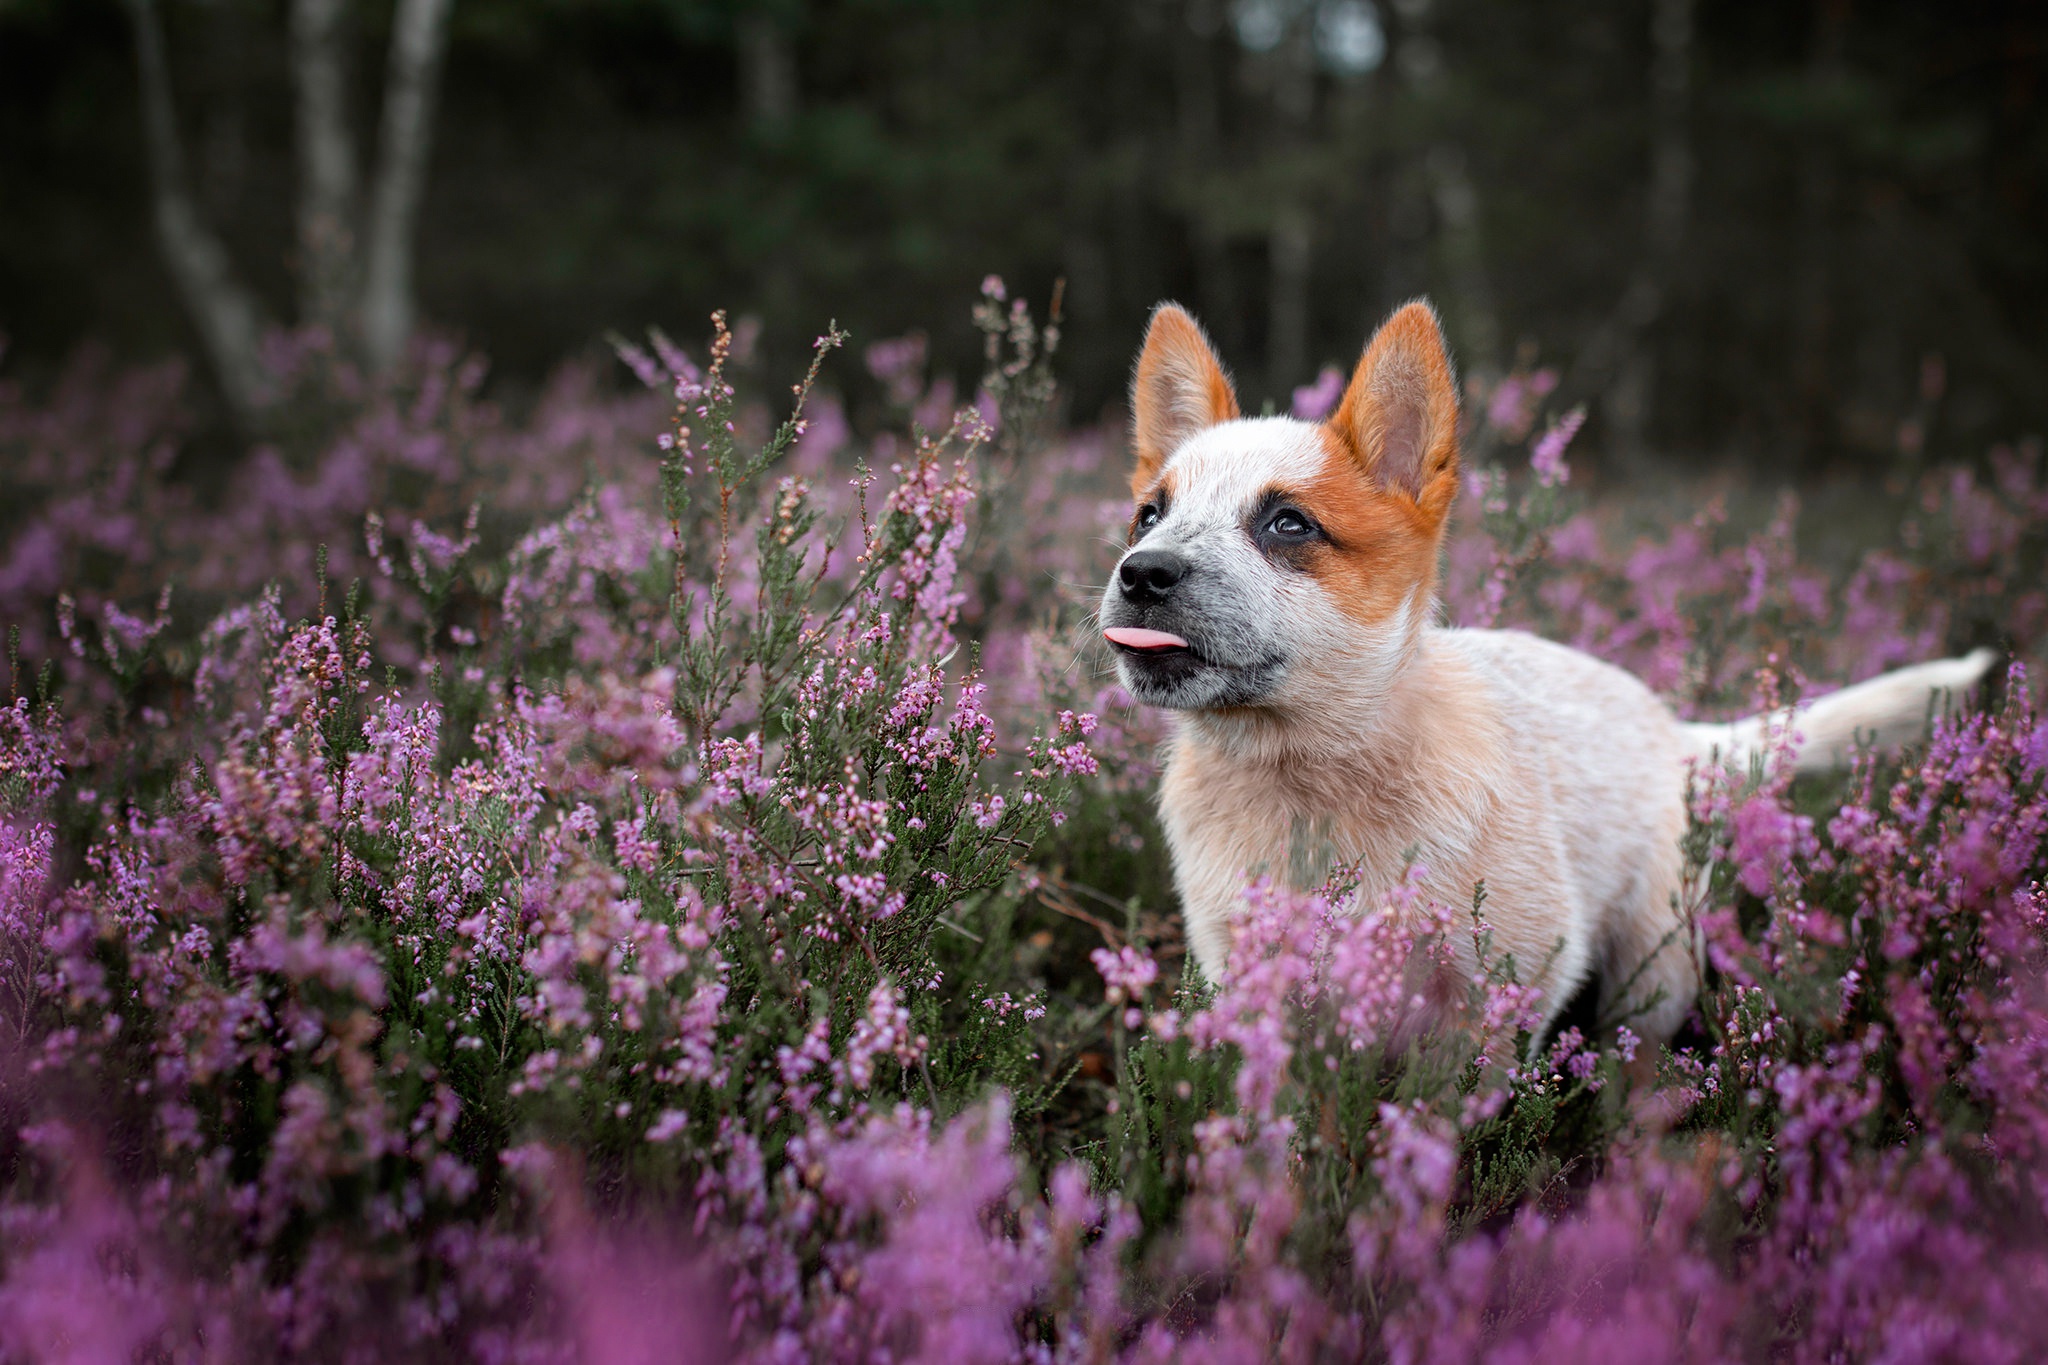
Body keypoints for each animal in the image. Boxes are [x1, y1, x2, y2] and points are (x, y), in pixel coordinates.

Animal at [1097, 300, 1990, 1047]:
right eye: (1148, 513)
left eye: (1288, 524)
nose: (1142, 572)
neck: (1303, 784)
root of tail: (1675, 731)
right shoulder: (1247, 979)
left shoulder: (1509, 984)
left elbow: (1444, 1110)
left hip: (1653, 973)